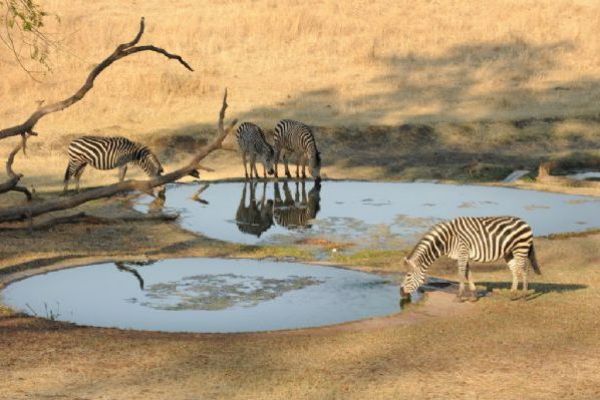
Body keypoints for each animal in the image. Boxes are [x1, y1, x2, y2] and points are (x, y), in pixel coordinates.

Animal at [400, 217, 540, 302]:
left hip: (520, 249)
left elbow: (461, 274)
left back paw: (524, 296)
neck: (447, 240)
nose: (401, 293)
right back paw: (513, 294)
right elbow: (468, 274)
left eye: (408, 275)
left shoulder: (462, 252)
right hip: (509, 253)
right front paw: (473, 296)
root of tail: (525, 222)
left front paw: (459, 296)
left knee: (524, 270)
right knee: (516, 271)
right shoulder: (464, 254)